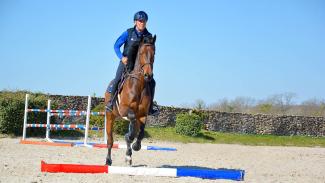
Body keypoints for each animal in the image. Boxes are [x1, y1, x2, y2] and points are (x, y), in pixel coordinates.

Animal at [103, 34, 155, 166]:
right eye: (141, 53)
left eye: (154, 53)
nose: (148, 75)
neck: (139, 85)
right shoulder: (125, 110)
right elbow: (132, 125)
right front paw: (129, 138)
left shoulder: (142, 114)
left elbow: (140, 132)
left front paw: (136, 145)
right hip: (110, 116)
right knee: (110, 140)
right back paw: (108, 160)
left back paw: (128, 155)